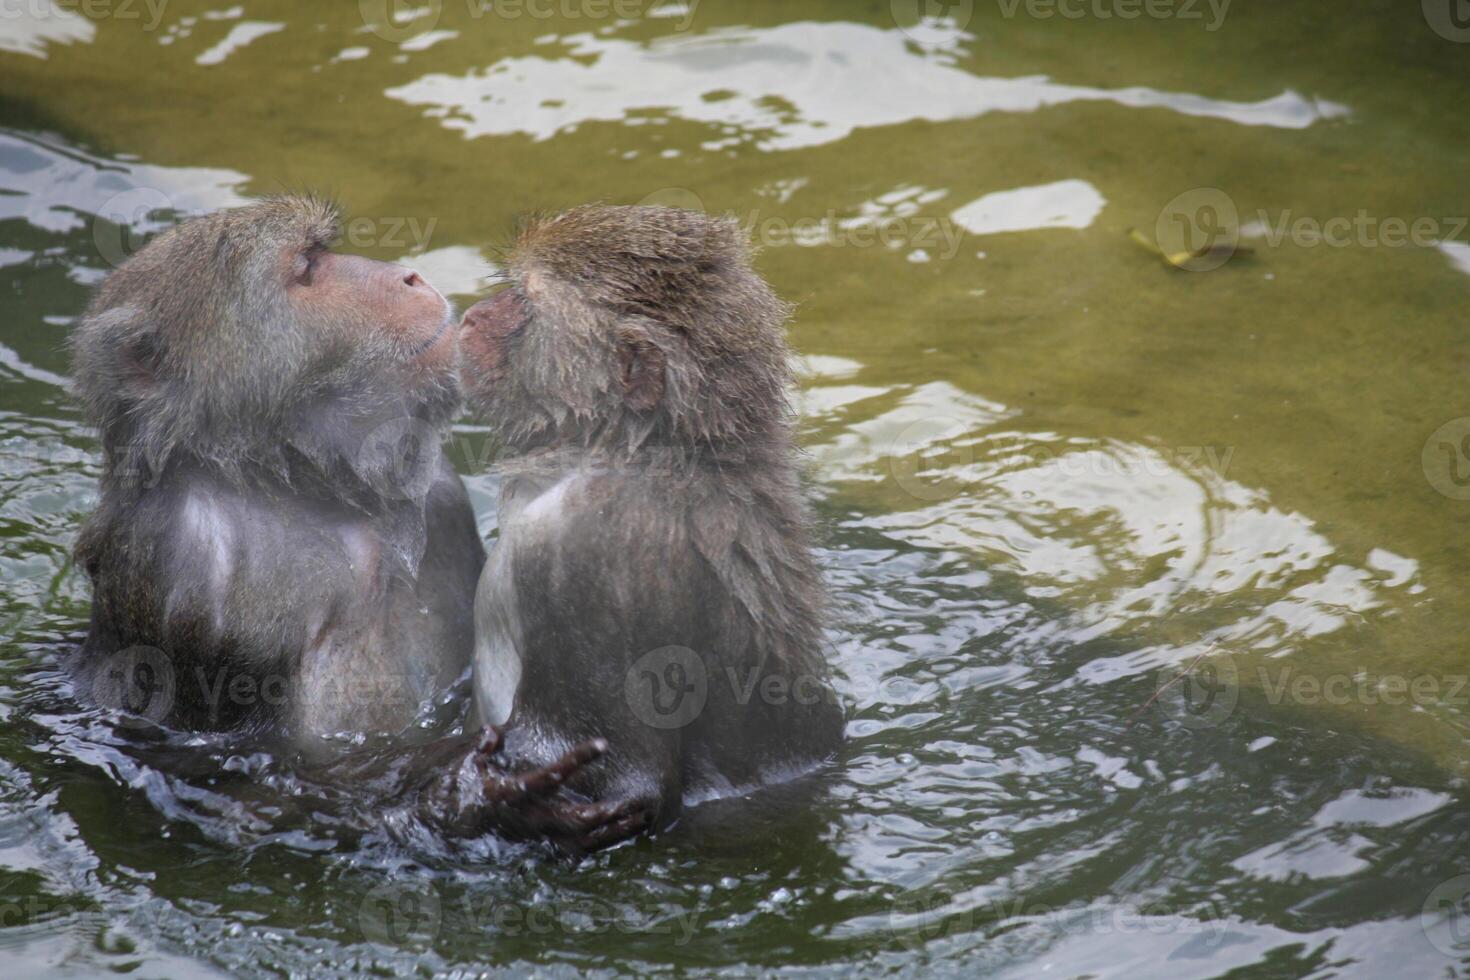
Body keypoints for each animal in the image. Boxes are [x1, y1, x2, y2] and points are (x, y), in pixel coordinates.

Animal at [69, 196, 640, 852]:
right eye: (307, 265)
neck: (302, 489)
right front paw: (475, 791)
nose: (407, 276)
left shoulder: (443, 491)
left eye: (323, 250)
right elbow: (238, 779)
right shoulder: (184, 571)